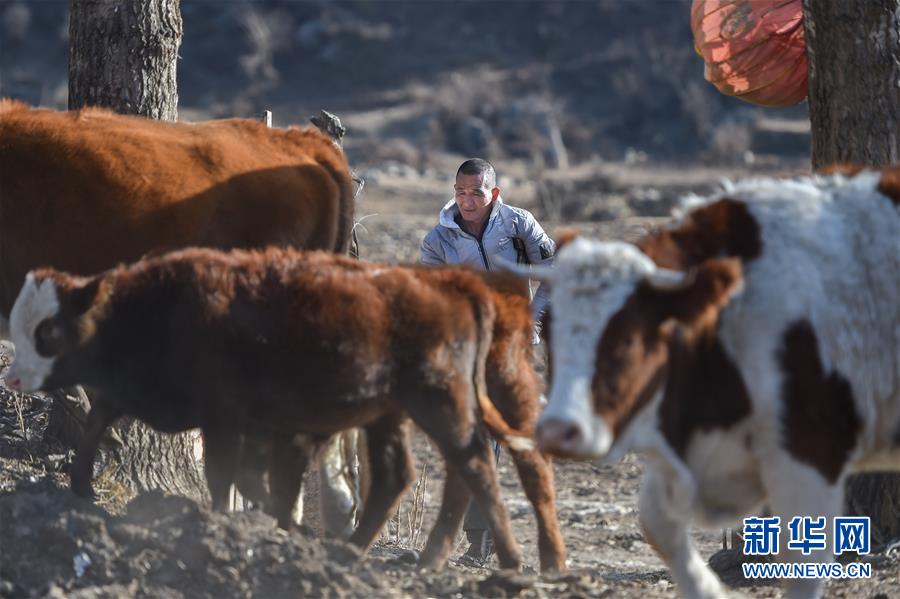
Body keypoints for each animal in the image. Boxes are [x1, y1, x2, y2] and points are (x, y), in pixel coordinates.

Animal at [7, 247, 568, 572]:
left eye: (48, 330)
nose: (13, 377)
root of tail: (460, 286)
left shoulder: (230, 418)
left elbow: (228, 476)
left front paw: (222, 529)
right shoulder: (257, 426)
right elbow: (101, 420)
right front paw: (81, 487)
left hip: (445, 401)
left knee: (479, 463)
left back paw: (519, 561)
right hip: (392, 414)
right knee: (405, 475)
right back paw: (360, 552)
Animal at [510, 165, 896, 599]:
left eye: (628, 339)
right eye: (550, 331)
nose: (558, 432)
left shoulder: (809, 454)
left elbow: (804, 563)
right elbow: (657, 523)